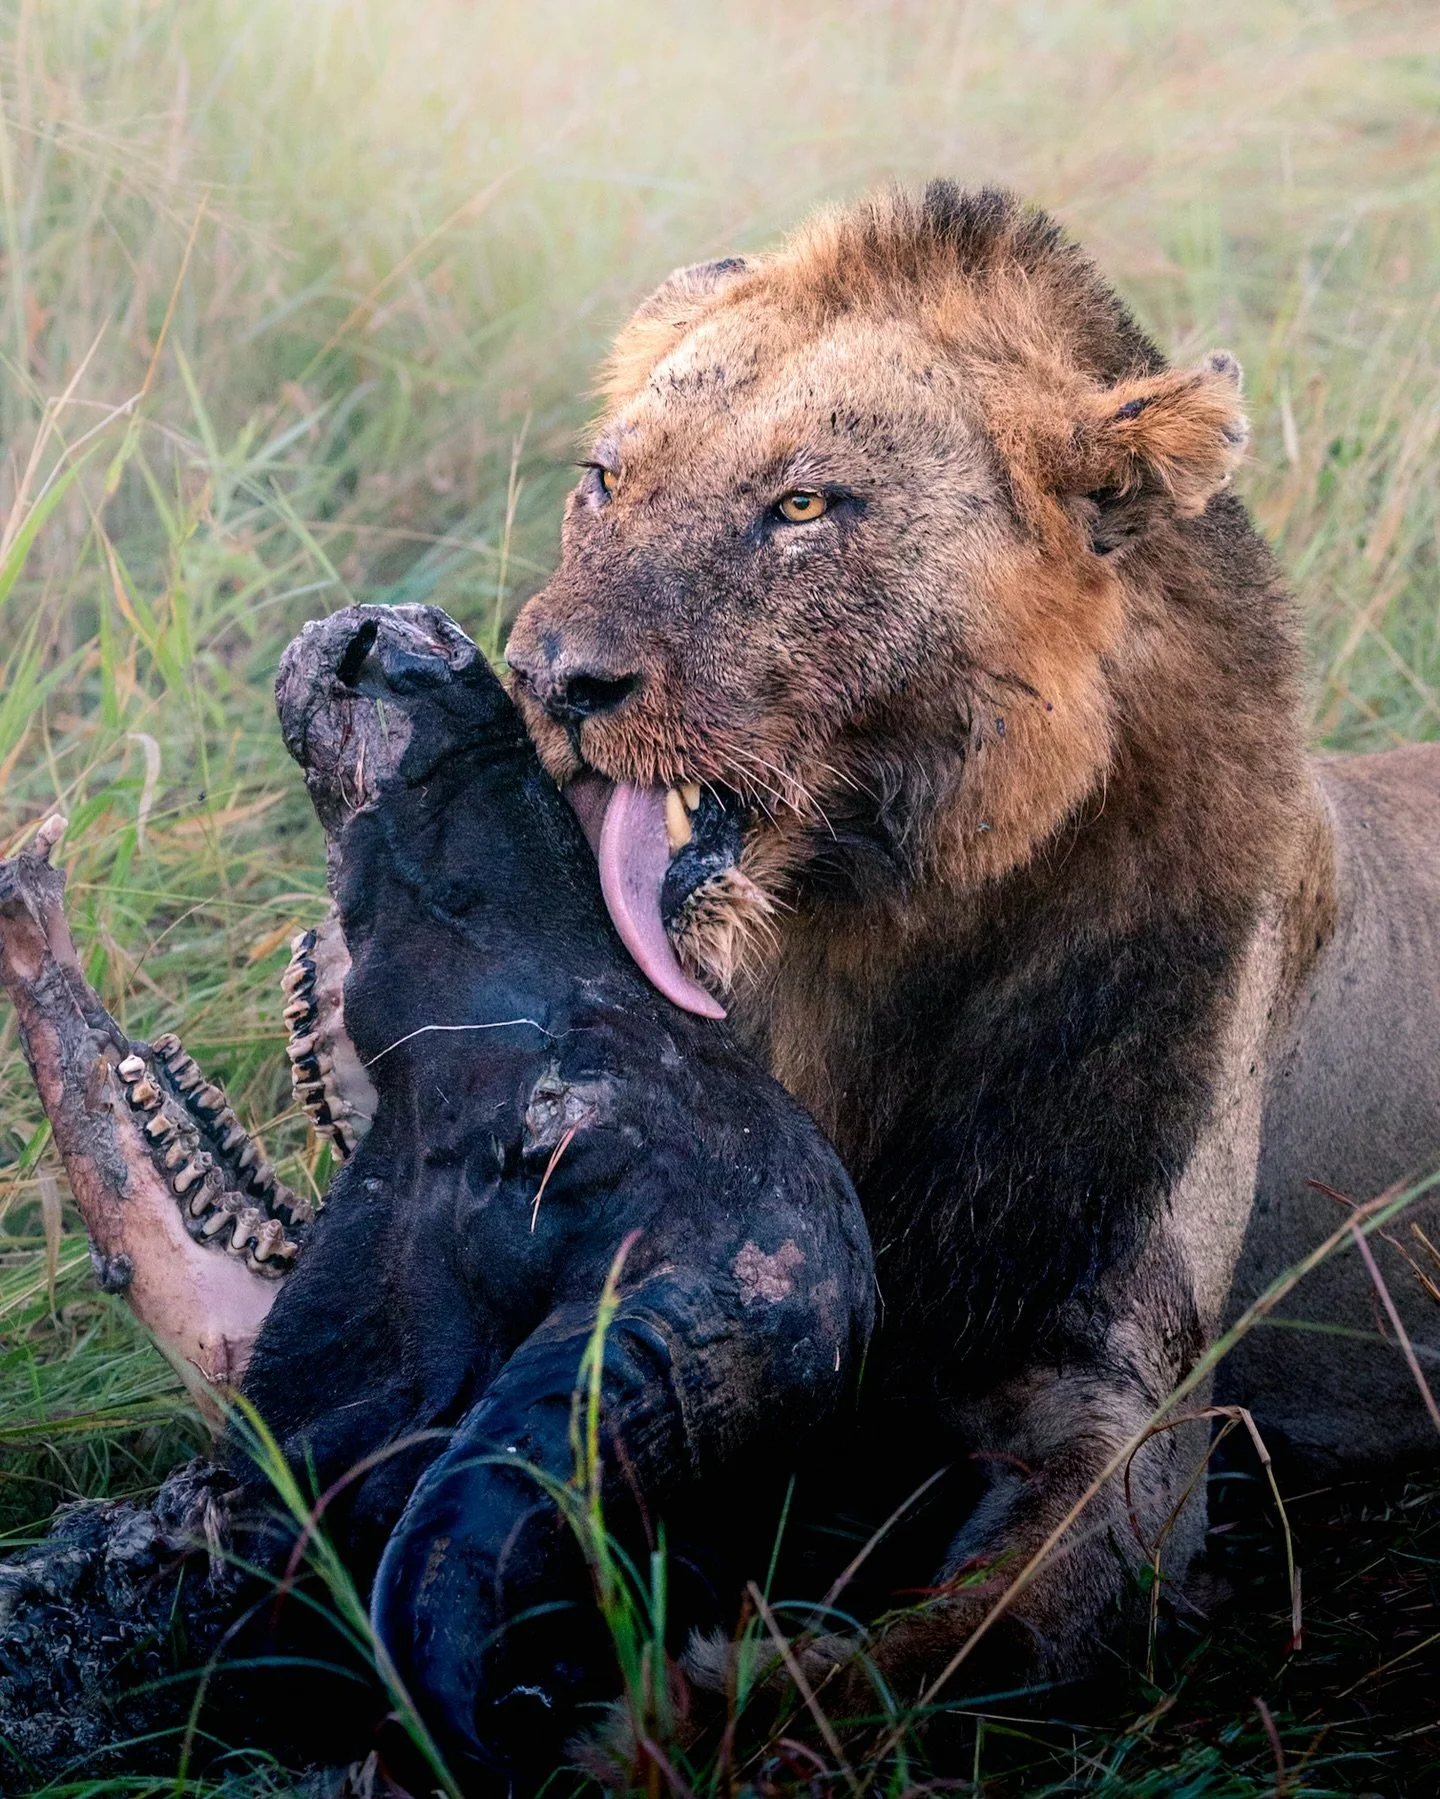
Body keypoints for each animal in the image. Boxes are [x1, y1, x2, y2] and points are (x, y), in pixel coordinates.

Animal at [506, 184, 1440, 1709]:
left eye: (804, 505)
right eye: (603, 479)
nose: (550, 678)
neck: (860, 954)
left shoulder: (1122, 1396)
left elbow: (963, 1643)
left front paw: (681, 1717)